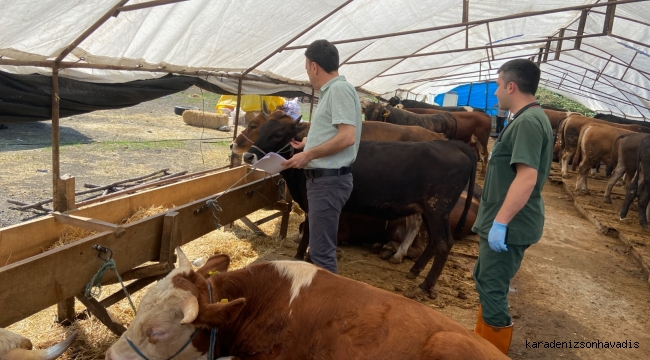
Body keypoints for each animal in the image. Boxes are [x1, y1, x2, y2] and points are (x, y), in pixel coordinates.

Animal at [240, 115, 474, 296]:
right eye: (261, 129)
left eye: (278, 134)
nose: (248, 155)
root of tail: (452, 144)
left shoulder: (313, 203)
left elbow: (308, 233)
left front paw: (300, 257)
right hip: (429, 211)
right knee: (434, 241)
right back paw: (414, 270)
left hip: (438, 209)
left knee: (443, 243)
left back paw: (424, 286)